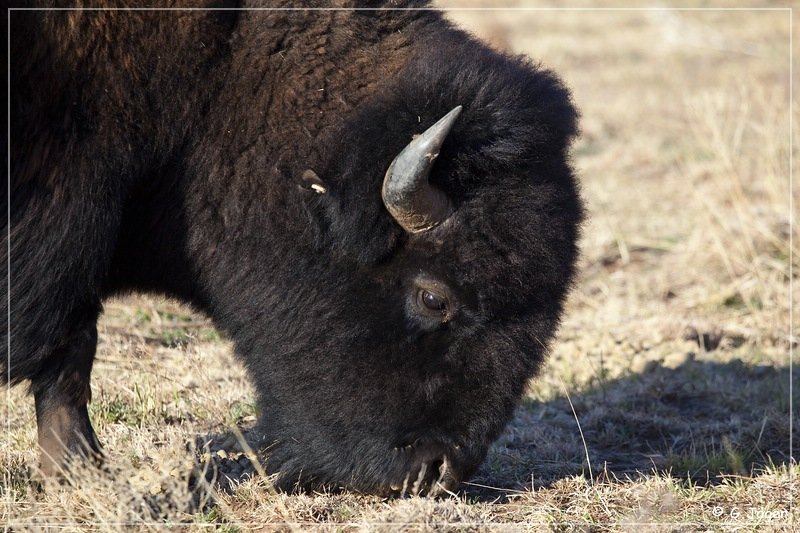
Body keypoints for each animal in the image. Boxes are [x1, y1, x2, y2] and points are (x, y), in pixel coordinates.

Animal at [3, 2, 584, 496]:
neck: (222, 77)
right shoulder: (63, 219)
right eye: (434, 298)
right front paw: (83, 472)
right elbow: (69, 352)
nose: (438, 469)